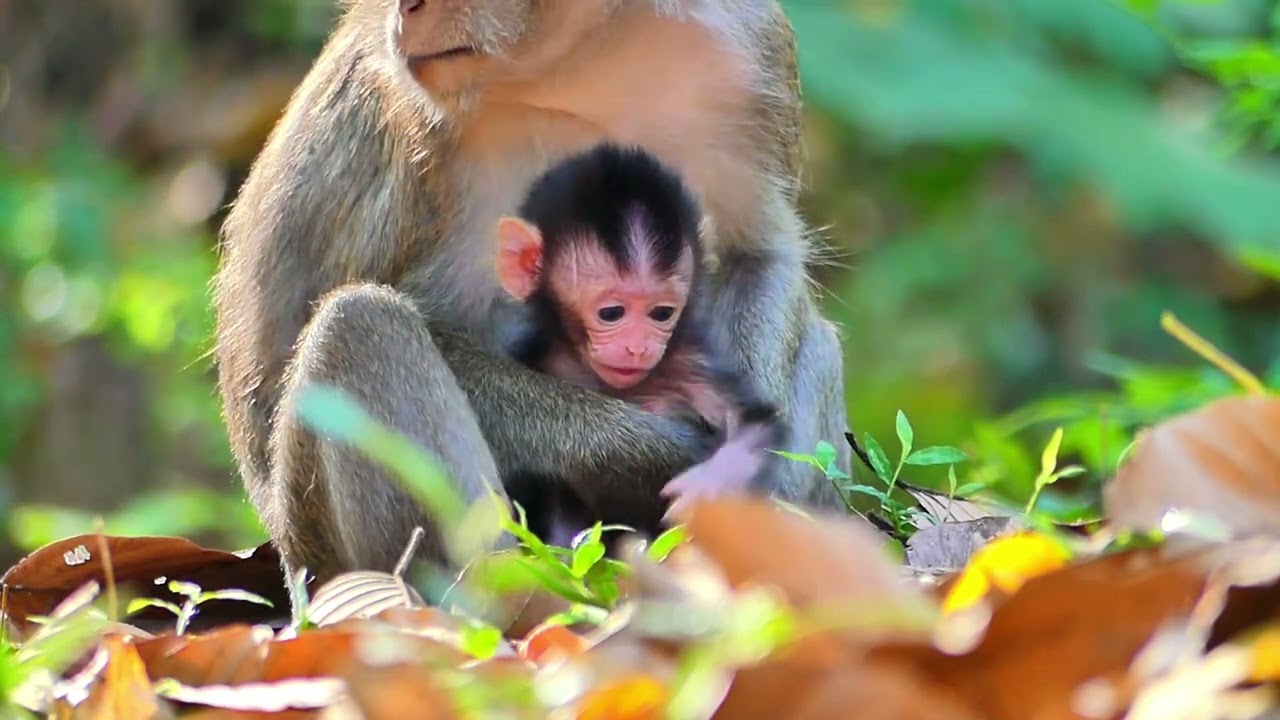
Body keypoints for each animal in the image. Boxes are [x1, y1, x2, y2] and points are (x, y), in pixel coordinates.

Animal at [491, 142, 788, 546]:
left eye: (661, 313)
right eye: (611, 313)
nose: (638, 348)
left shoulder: (690, 362)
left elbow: (755, 424)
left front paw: (710, 487)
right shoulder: (533, 358)